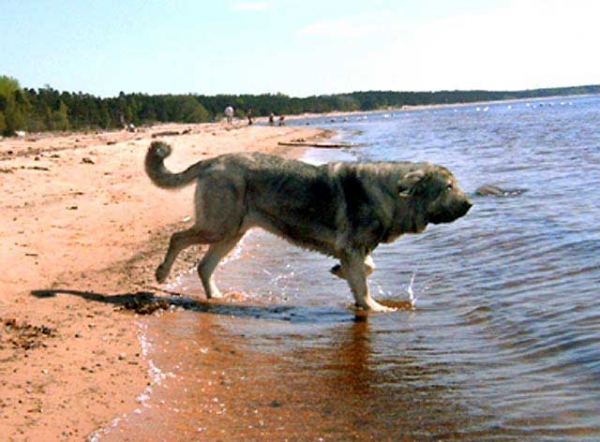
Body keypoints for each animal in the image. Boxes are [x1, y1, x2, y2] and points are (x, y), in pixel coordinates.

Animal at [146, 142, 474, 310]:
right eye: (448, 187)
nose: (470, 203)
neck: (393, 195)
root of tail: (212, 160)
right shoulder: (351, 247)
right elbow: (364, 284)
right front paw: (374, 308)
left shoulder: (355, 250)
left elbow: (367, 269)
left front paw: (341, 274)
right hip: (219, 226)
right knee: (178, 237)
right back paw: (161, 273)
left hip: (232, 233)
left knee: (204, 265)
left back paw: (215, 296)